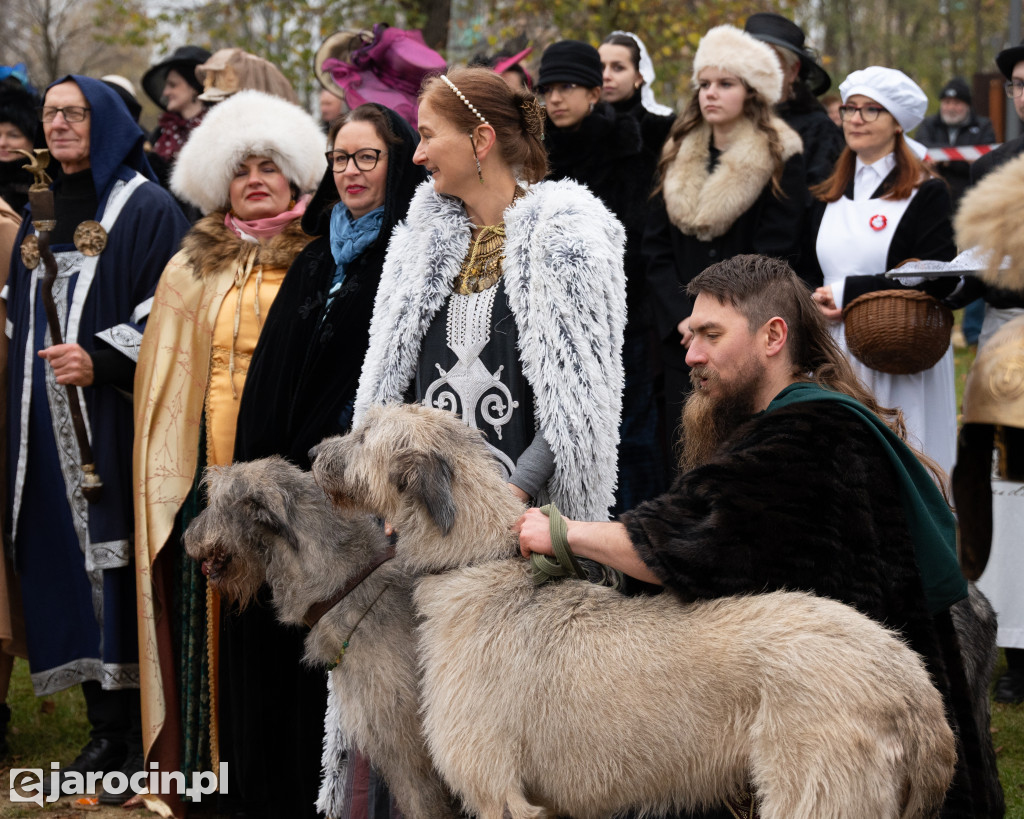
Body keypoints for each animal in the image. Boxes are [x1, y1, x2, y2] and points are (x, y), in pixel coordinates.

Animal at [309, 405, 950, 818]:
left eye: (364, 434)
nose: (314, 451)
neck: (477, 567)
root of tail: (915, 688)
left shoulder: (496, 790)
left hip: (819, 791)